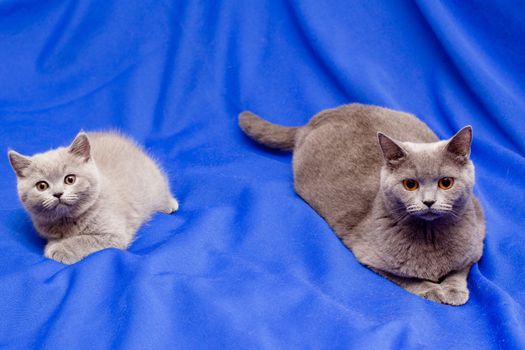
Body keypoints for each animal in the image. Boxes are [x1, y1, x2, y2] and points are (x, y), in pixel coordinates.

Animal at [7, 133, 178, 264]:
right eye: (42, 186)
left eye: (70, 179)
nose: (58, 193)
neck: (67, 220)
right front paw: (56, 243)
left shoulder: (113, 234)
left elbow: (83, 240)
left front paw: (60, 249)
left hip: (153, 183)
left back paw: (171, 204)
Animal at [239, 104, 486, 306]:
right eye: (410, 184)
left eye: (446, 183)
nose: (428, 201)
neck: (430, 234)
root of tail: (313, 120)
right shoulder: (371, 256)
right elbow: (409, 279)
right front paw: (433, 290)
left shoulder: (477, 238)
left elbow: (461, 269)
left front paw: (453, 290)